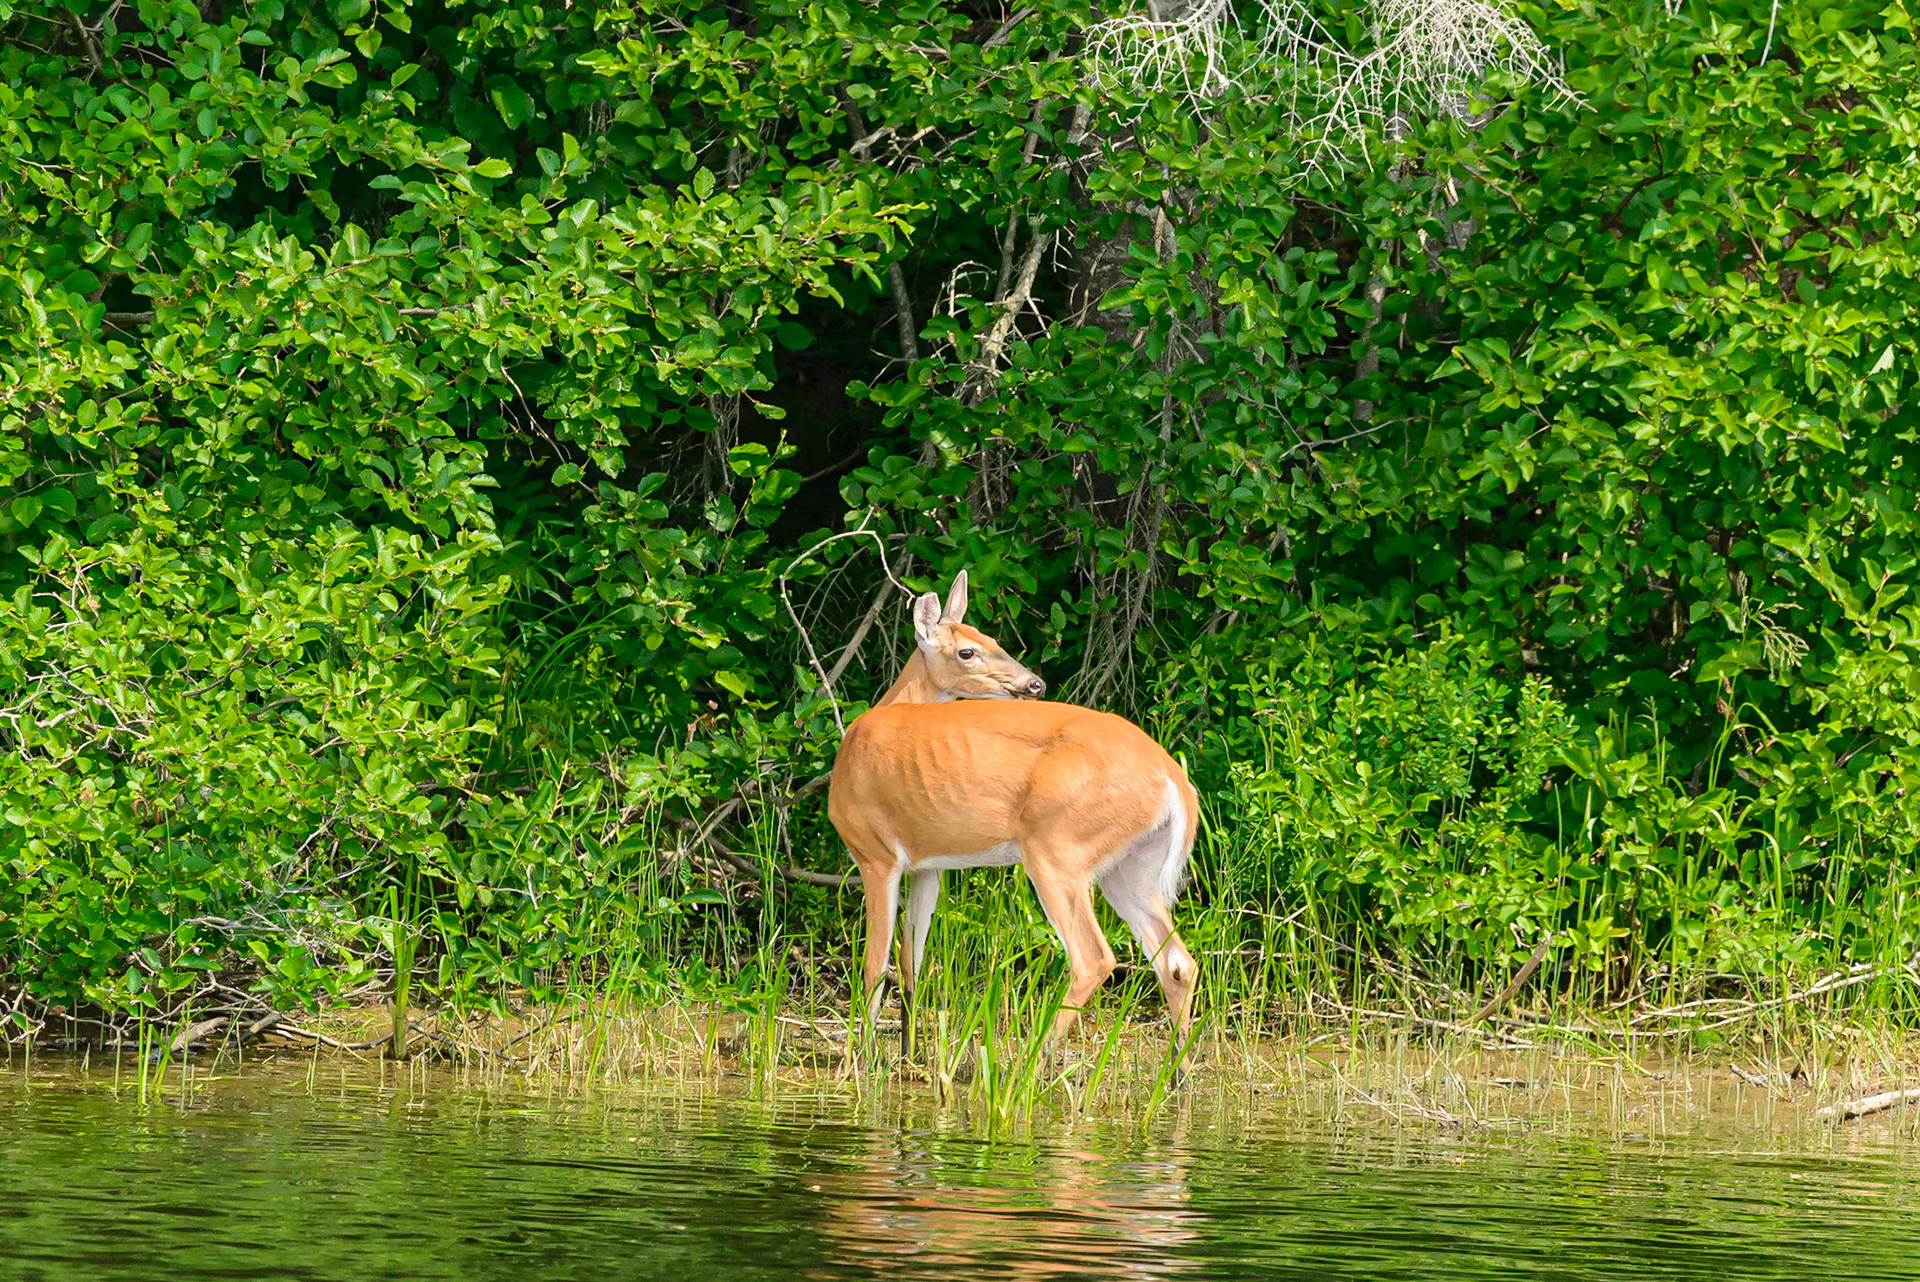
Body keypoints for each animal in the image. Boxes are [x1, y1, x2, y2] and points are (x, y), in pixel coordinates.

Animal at [826, 571, 1199, 1056]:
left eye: (992, 639)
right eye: (969, 649)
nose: (1035, 684)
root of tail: (1175, 781)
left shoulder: (875, 853)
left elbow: (874, 966)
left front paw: (865, 1060)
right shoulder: (927, 866)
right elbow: (911, 962)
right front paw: (907, 1055)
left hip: (1057, 846)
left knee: (1093, 958)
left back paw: (1035, 1060)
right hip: (1132, 865)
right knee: (1177, 961)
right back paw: (1177, 1069)